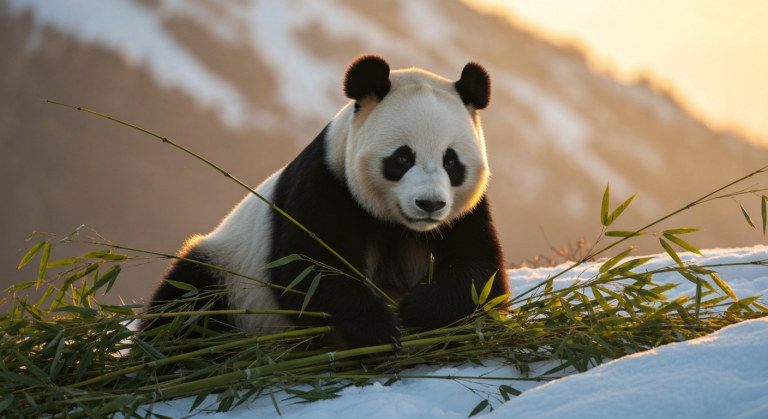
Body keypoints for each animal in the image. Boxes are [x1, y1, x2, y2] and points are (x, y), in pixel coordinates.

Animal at [143, 55, 509, 349]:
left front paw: (416, 309)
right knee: (185, 306)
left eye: (451, 161)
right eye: (403, 158)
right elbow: (310, 270)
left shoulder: (464, 215)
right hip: (228, 277)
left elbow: (479, 274)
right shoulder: (325, 186)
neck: (396, 223)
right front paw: (379, 329)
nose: (429, 204)